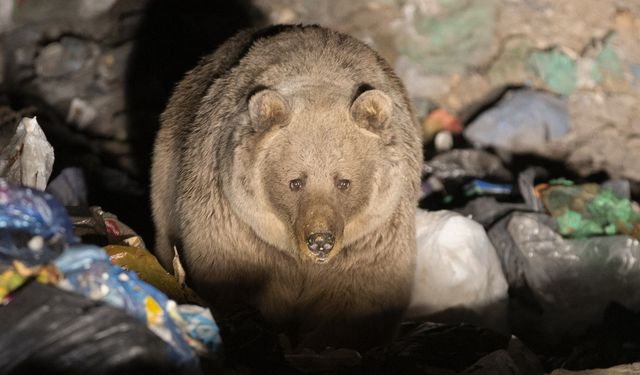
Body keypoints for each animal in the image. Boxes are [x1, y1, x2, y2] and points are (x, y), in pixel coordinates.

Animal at [149, 25, 420, 352]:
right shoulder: (238, 223)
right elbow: (237, 277)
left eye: (344, 181)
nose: (320, 241)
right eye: (295, 181)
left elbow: (360, 296)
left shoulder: (375, 232)